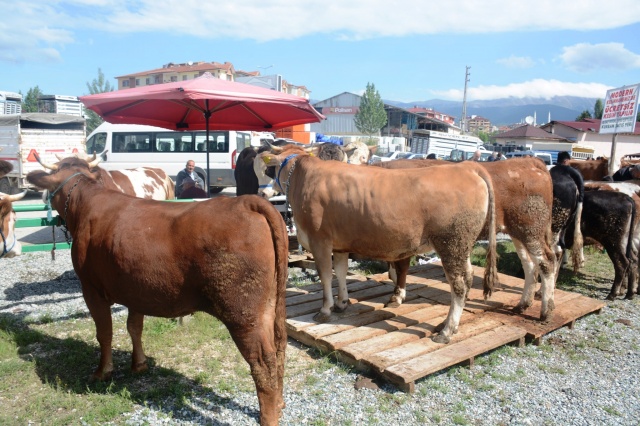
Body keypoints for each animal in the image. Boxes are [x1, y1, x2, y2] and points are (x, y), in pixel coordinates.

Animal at [27, 156, 288, 426]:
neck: (87, 202)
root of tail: (245, 201)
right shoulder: (135, 289)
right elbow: (134, 327)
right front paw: (139, 364)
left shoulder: (91, 288)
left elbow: (104, 333)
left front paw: (102, 372)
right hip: (270, 305)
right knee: (279, 349)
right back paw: (279, 403)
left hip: (242, 313)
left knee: (263, 362)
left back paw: (268, 416)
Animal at [258, 145, 498, 344]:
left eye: (270, 169)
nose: (262, 192)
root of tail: (468, 168)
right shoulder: (340, 244)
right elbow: (340, 272)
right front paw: (342, 303)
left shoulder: (320, 241)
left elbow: (325, 275)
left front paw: (325, 310)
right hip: (463, 246)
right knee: (468, 277)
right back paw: (448, 325)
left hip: (451, 243)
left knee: (458, 285)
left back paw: (446, 331)